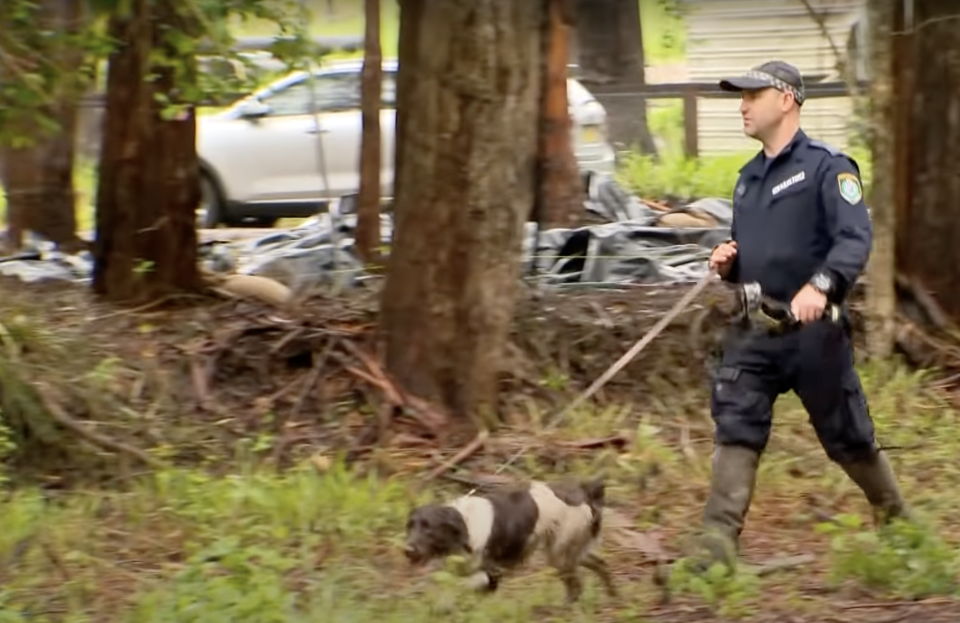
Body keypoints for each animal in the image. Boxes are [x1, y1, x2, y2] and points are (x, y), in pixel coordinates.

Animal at [404, 478, 616, 604]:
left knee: (576, 585)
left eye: (429, 528)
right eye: (410, 526)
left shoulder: (491, 573)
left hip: (560, 553)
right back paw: (613, 596)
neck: (465, 526)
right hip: (571, 551)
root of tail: (586, 491)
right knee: (600, 564)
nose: (408, 550)